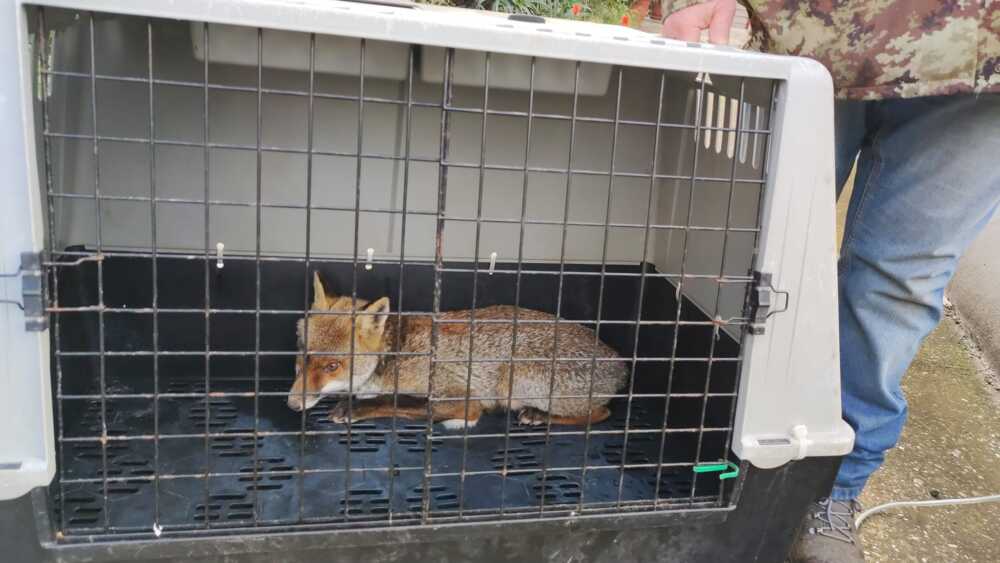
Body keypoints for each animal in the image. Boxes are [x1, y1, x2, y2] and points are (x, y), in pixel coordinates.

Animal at [286, 273, 628, 429]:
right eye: (303, 356)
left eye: (332, 366)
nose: (292, 404)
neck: (393, 356)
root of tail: (621, 362)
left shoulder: (459, 397)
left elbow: (398, 402)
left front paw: (352, 408)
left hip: (515, 380)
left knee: (601, 412)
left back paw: (539, 415)